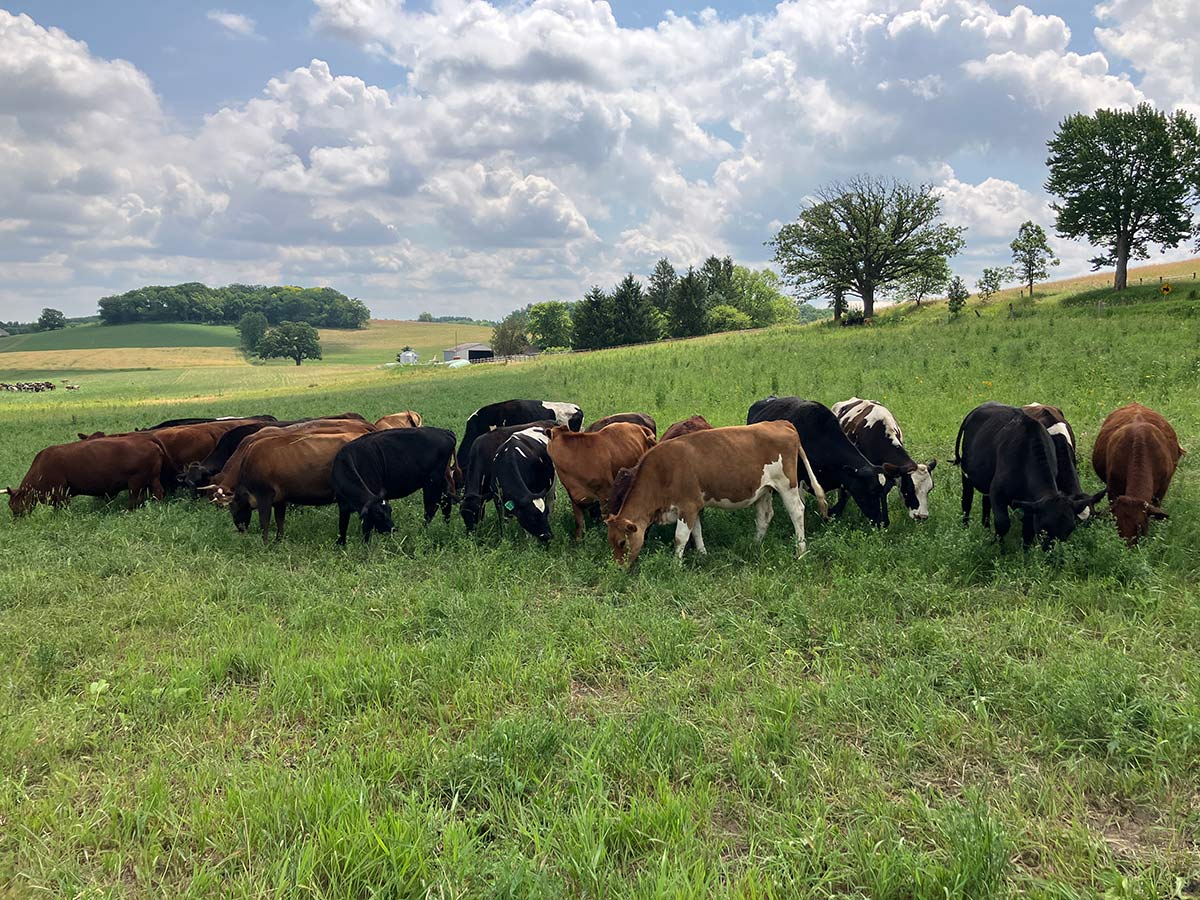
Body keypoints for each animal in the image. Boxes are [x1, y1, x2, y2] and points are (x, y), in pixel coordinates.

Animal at [5, 435, 167, 516]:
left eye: (14, 504)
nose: (17, 519)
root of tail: (146, 440)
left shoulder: (61, 493)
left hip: (135, 482)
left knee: (134, 499)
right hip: (153, 479)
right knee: (158, 492)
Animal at [225, 432, 364, 543]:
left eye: (232, 509)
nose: (240, 528)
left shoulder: (264, 494)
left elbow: (264, 522)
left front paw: (265, 544)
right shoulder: (280, 499)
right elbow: (279, 520)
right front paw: (278, 541)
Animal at [604, 422, 823, 566]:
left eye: (622, 542)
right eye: (610, 541)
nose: (618, 569)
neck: (662, 471)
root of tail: (782, 423)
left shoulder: (687, 506)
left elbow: (680, 537)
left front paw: (675, 565)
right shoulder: (693, 506)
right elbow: (696, 531)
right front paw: (703, 555)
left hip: (787, 484)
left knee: (796, 511)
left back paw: (800, 551)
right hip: (764, 489)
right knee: (765, 516)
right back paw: (754, 544)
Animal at [747, 396, 890, 526]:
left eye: (884, 492)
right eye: (871, 490)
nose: (884, 522)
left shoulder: (845, 478)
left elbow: (843, 497)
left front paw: (831, 515)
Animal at [954, 402, 1103, 548]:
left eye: (1071, 528)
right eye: (1043, 528)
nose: (1052, 552)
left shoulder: (1031, 501)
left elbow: (1027, 530)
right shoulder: (998, 491)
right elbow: (1002, 524)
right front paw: (997, 547)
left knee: (985, 502)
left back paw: (986, 528)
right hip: (966, 475)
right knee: (966, 502)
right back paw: (966, 529)